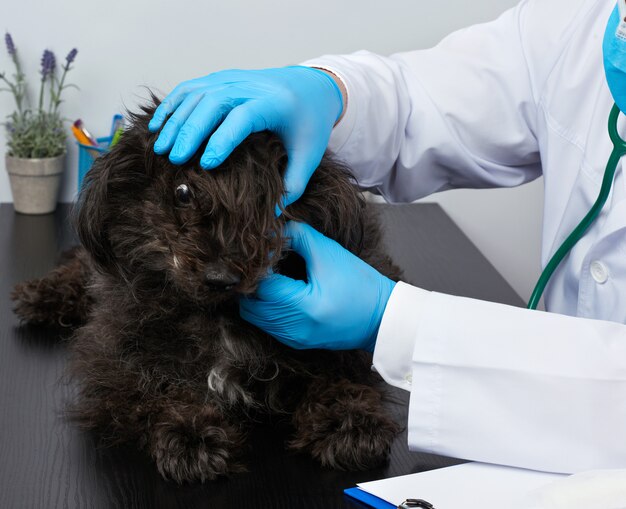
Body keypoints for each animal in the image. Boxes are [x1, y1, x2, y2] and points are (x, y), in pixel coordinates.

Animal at [11, 100, 400, 484]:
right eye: (182, 192)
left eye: (274, 198)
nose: (220, 277)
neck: (219, 316)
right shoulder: (112, 362)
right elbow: (155, 386)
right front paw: (190, 432)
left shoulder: (341, 345)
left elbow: (337, 373)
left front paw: (350, 423)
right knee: (82, 264)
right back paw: (42, 295)